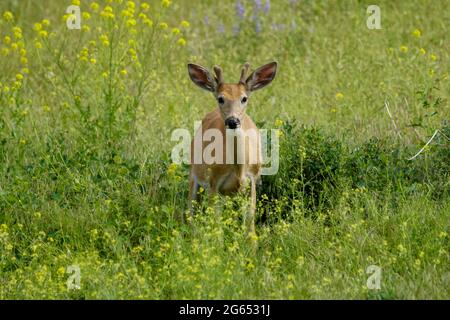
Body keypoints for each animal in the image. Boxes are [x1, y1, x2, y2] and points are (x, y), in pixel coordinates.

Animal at [186, 61, 278, 239]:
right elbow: (216, 225)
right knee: (189, 211)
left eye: (244, 98)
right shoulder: (213, 182)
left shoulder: (253, 180)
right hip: (194, 174)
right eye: (220, 98)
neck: (238, 169)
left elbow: (250, 224)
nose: (232, 121)